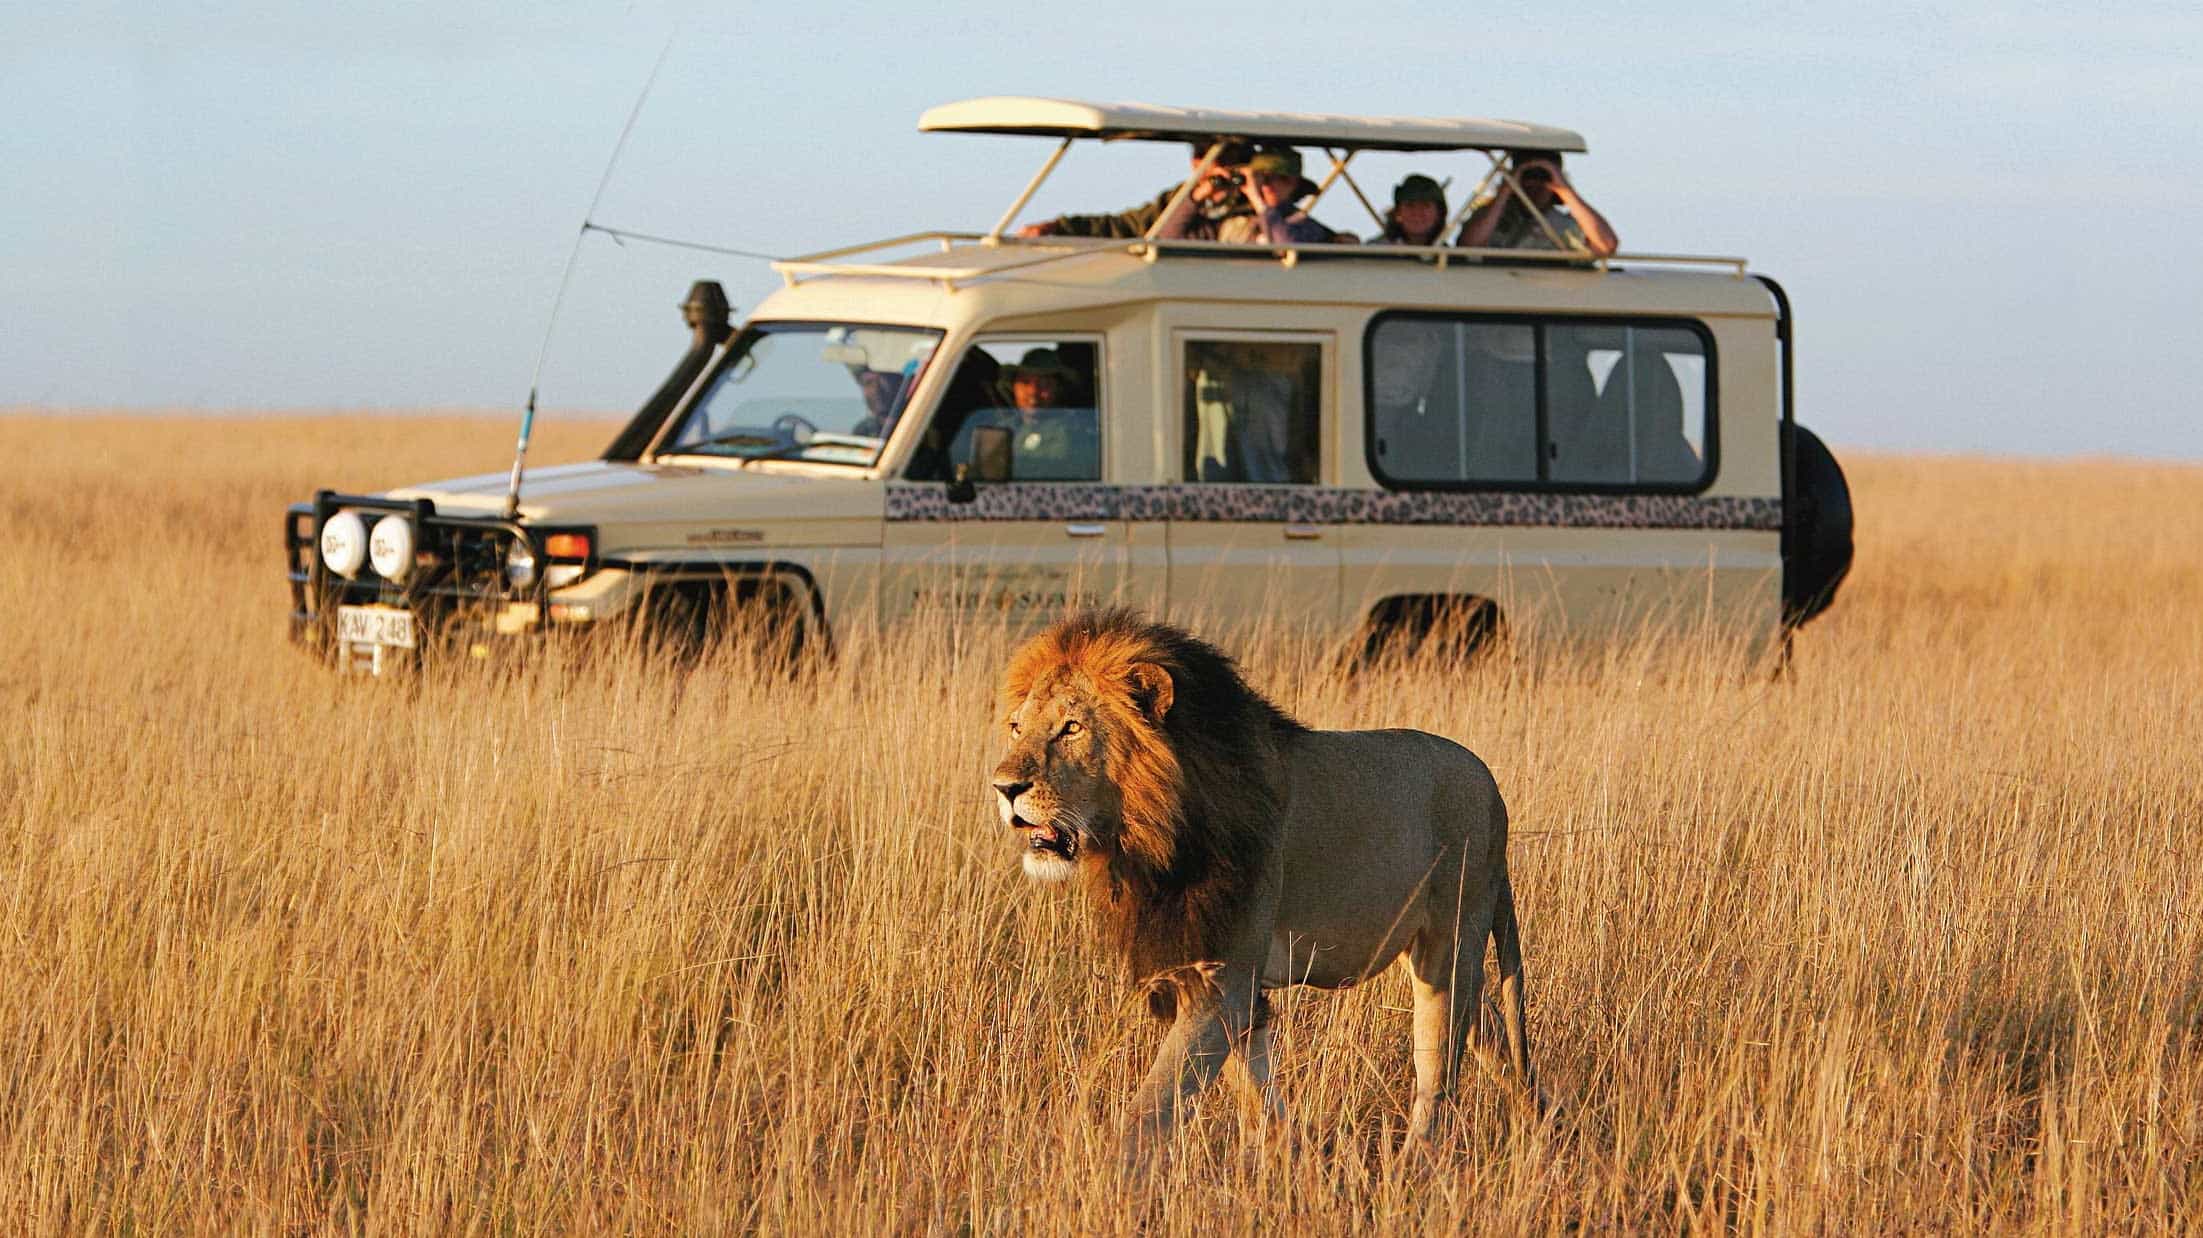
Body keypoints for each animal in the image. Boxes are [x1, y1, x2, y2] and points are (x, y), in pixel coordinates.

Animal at [991, 603, 1542, 1163]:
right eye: (1016, 727)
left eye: (1072, 728)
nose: (1004, 787)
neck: (1154, 836)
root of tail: (1492, 787)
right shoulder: (1213, 976)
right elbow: (1256, 1092)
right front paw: (1289, 1159)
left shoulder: (1226, 982)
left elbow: (1151, 1108)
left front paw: (1105, 1178)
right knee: (1492, 1030)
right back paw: (1540, 1117)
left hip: (1451, 939)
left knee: (1440, 1069)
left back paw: (1416, 1165)